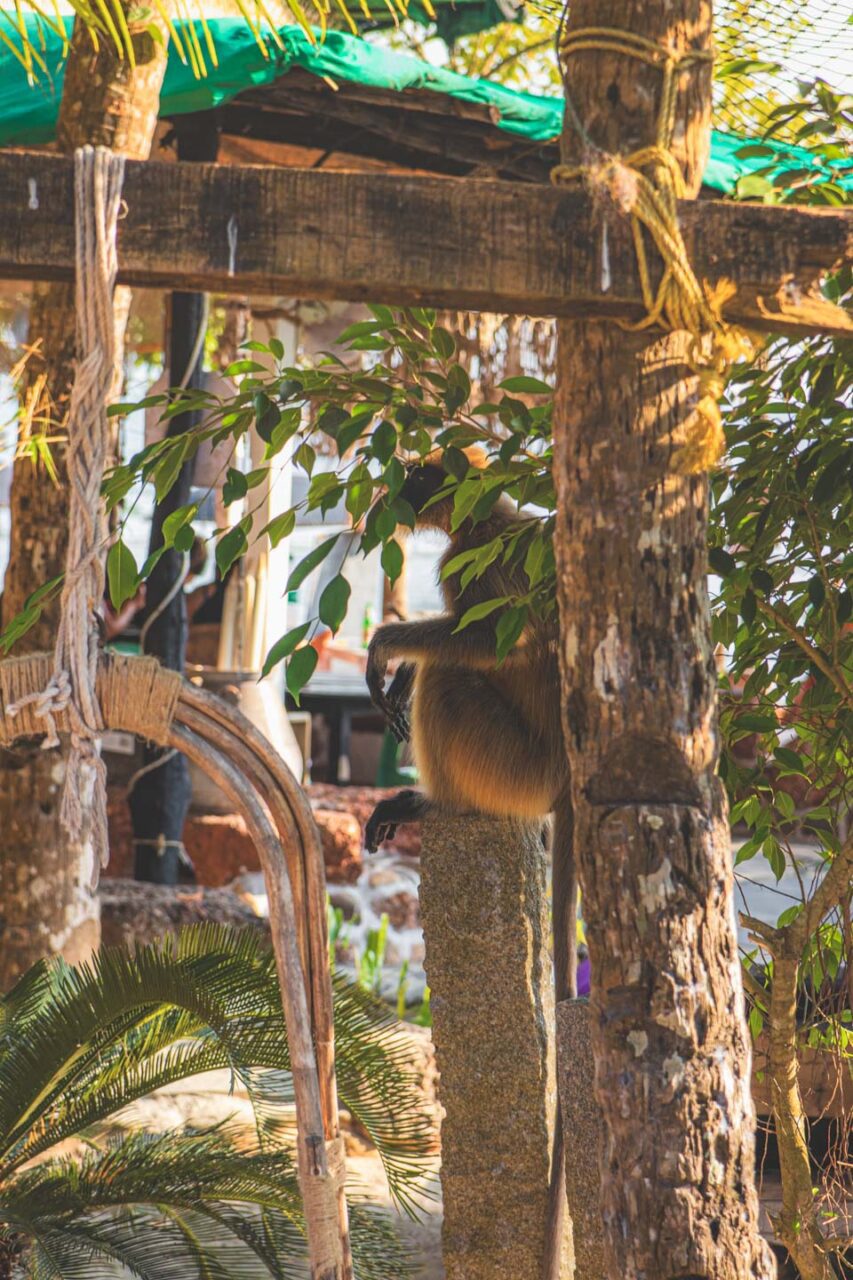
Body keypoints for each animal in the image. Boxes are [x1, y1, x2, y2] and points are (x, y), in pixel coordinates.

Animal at [363, 451, 576, 1280]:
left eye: (418, 480)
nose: (394, 496)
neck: (493, 516)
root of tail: (561, 778)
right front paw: (390, 673)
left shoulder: (477, 559)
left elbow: (492, 643)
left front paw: (385, 646)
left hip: (507, 766)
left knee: (451, 676)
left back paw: (434, 806)